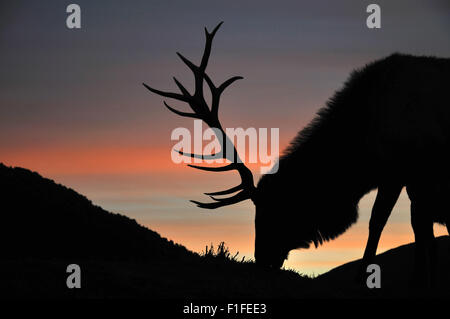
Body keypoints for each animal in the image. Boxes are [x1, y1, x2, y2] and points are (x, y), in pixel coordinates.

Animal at [144, 22, 450, 288]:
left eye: (272, 210)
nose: (262, 260)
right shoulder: (415, 180)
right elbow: (421, 229)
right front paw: (424, 281)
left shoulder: (399, 171)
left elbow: (380, 222)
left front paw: (362, 279)